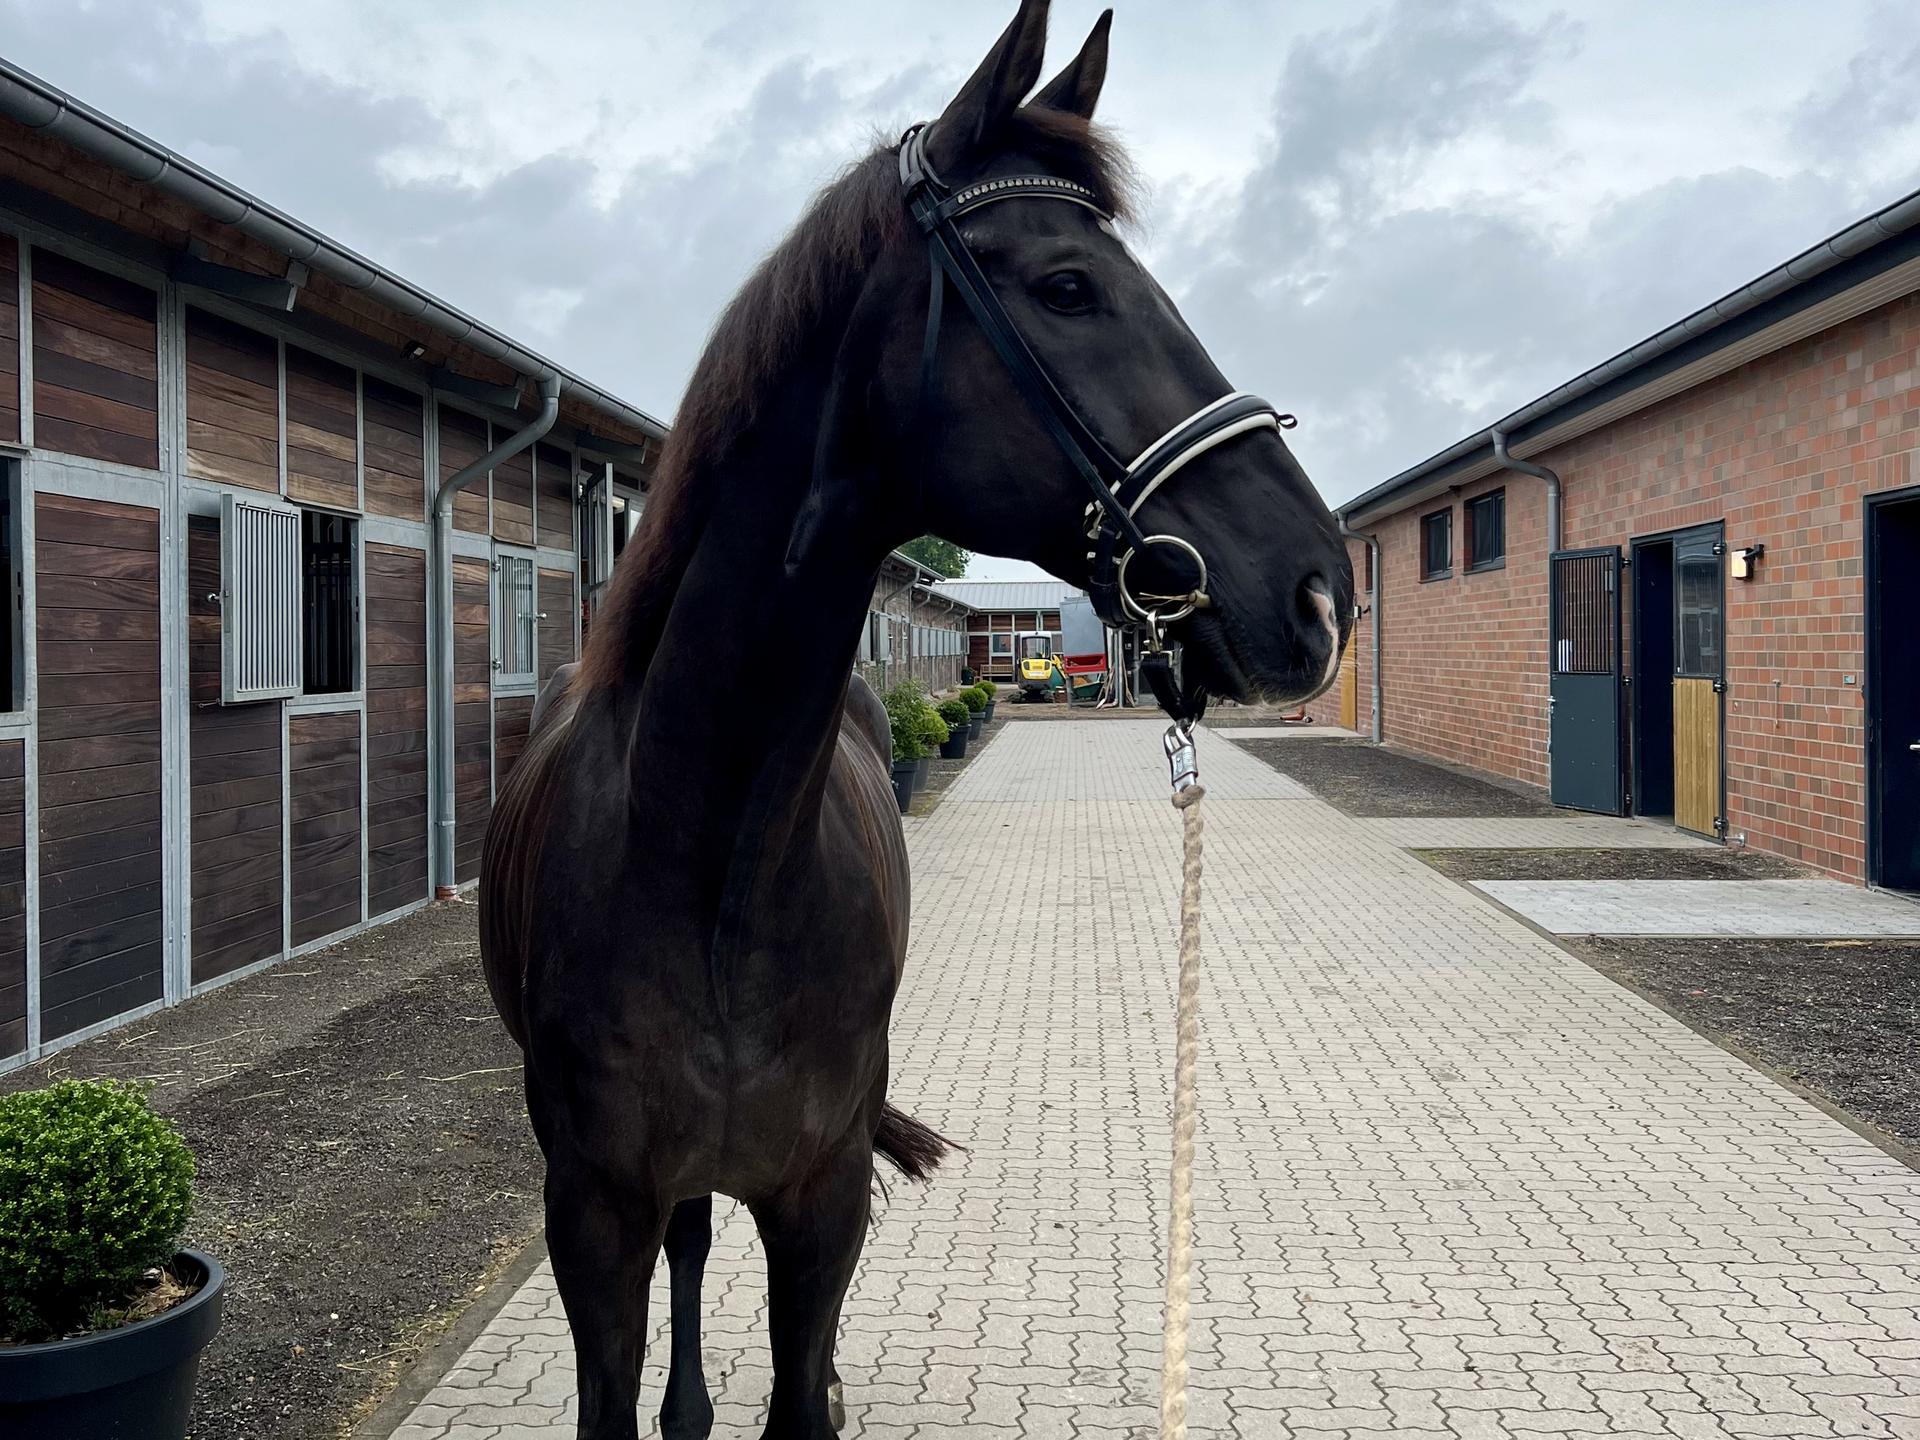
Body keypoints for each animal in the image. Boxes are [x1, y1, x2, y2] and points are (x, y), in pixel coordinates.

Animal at [479, 4, 1354, 1438]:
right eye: (1066, 287)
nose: (1317, 586)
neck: (709, 864)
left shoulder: (822, 1200)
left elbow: (797, 1385)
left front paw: (809, 1393)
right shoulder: (590, 1219)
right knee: (693, 1242)